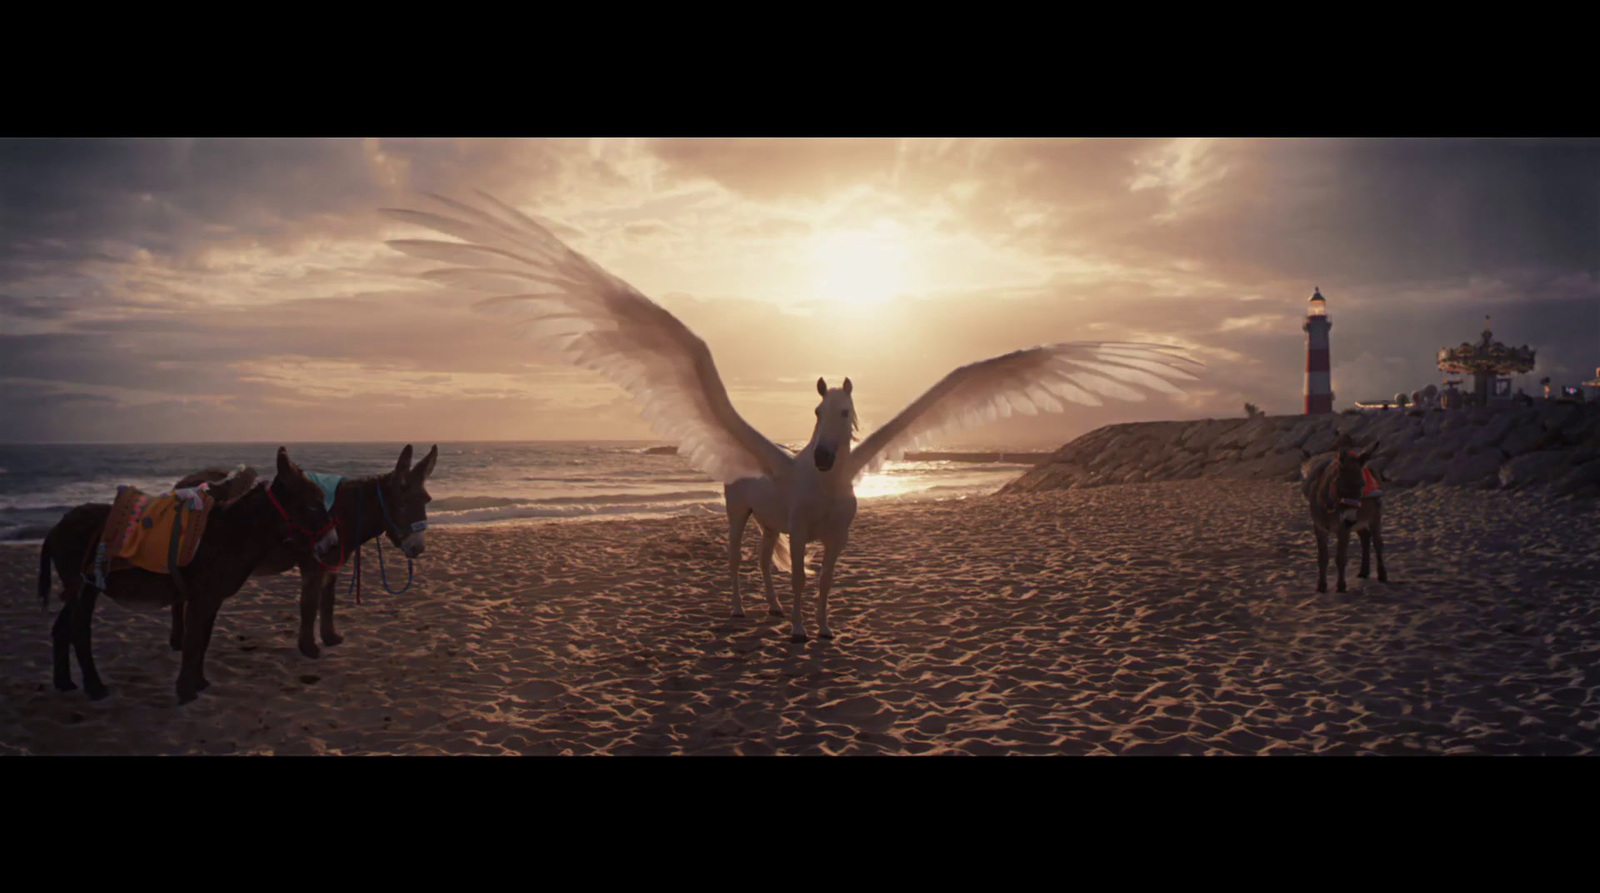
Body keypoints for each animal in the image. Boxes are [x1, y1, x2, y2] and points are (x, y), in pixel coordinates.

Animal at [380, 194, 1196, 643]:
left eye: (852, 410)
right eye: (815, 408)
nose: (829, 459)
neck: (820, 481)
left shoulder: (836, 539)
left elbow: (825, 585)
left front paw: (824, 629)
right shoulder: (804, 534)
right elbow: (803, 582)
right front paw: (801, 631)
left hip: (766, 520)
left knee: (763, 562)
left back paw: (770, 613)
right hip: (739, 514)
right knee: (739, 562)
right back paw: (751, 613)